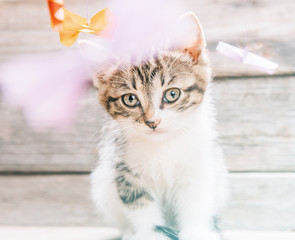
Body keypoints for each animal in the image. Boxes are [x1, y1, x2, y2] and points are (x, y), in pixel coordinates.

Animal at [90, 13, 229, 240]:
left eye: (172, 94)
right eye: (130, 99)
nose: (152, 122)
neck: (163, 144)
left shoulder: (199, 165)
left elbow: (196, 201)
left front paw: (197, 231)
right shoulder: (123, 169)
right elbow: (139, 203)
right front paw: (150, 233)